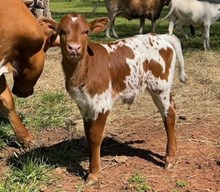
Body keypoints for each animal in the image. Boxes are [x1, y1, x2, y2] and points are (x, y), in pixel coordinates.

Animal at [56, 12, 186, 184]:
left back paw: (169, 158)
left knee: (169, 115)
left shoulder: (102, 104)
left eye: (86, 32)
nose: (74, 48)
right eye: (62, 31)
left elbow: (95, 136)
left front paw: (93, 173)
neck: (83, 70)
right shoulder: (84, 105)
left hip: (160, 87)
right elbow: (88, 134)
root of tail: (159, 36)